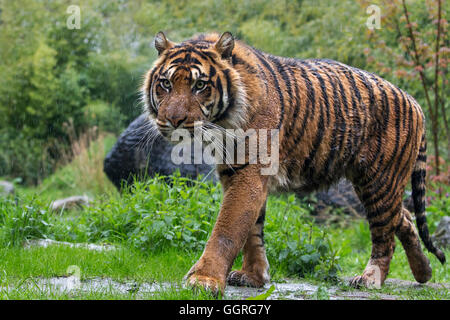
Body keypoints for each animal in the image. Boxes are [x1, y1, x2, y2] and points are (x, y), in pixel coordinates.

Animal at [142, 31, 444, 294]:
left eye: (200, 85)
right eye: (166, 83)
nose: (174, 120)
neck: (221, 125)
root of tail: (414, 102)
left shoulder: (248, 174)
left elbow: (227, 230)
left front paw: (204, 280)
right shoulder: (236, 173)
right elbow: (253, 232)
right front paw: (253, 276)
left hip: (378, 180)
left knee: (385, 232)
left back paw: (371, 278)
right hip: (375, 183)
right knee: (403, 217)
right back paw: (424, 271)